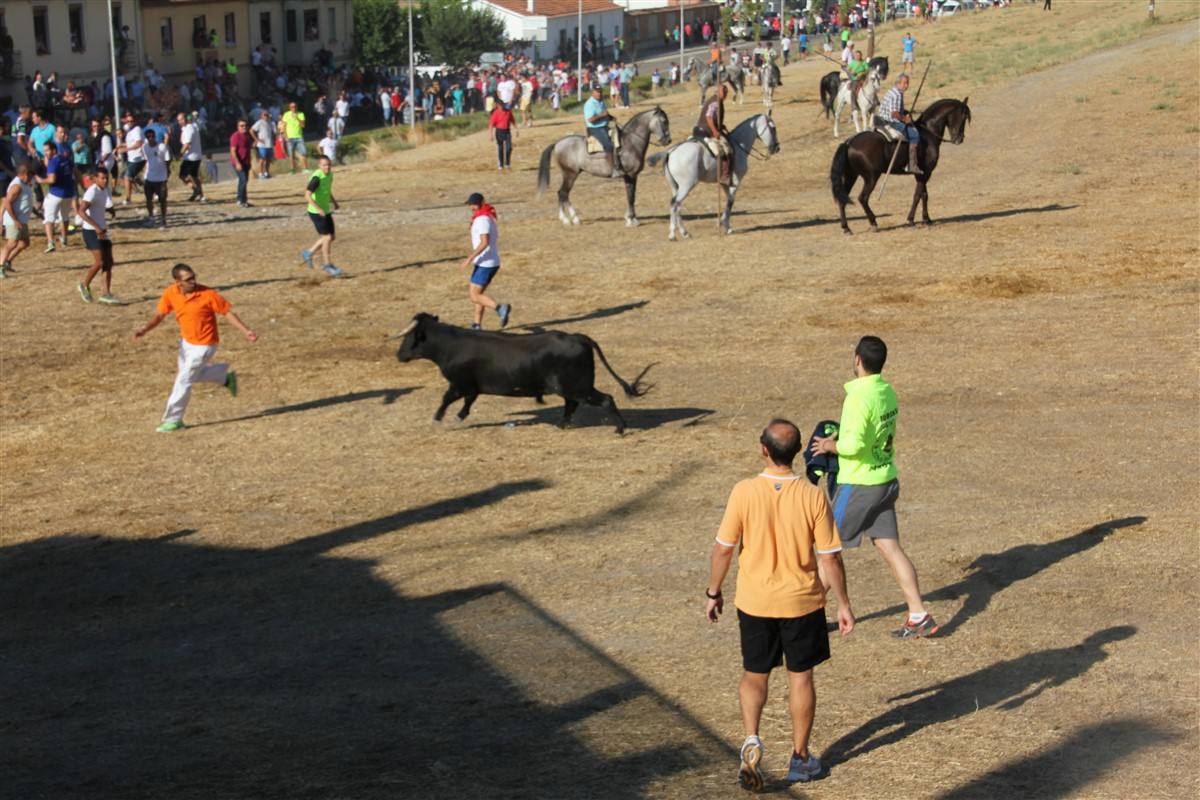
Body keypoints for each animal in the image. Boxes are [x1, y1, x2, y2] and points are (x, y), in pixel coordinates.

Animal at [396, 314, 652, 438]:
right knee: (571, 404)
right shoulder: (470, 387)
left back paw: (620, 429)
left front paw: (438, 419)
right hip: (571, 388)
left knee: (605, 399)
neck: (450, 345)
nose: (399, 355)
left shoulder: (459, 383)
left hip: (580, 387)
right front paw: (459, 416)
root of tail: (578, 337)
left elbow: (446, 399)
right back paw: (562, 425)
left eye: (409, 338)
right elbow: (467, 402)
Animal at [537, 104, 672, 226]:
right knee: (563, 193)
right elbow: (631, 196)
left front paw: (630, 218)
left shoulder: (630, 176)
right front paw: (631, 220)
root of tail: (557, 143)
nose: (668, 140)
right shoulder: (631, 175)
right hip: (570, 174)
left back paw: (568, 218)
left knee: (562, 194)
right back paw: (570, 219)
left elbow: (631, 196)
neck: (630, 143)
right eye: (664, 121)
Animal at [648, 112, 777, 241]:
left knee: (677, 205)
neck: (739, 144)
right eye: (773, 128)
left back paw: (685, 233)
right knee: (675, 203)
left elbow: (729, 200)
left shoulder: (725, 183)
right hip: (687, 185)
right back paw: (672, 234)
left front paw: (725, 224)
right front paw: (725, 225)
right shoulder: (736, 182)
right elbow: (731, 201)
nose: (777, 147)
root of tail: (670, 152)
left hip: (675, 186)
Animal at [835, 97, 974, 235]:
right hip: (871, 177)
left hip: (851, 175)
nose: (960, 139)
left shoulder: (922, 174)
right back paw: (873, 223)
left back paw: (846, 228)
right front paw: (911, 220)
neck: (928, 133)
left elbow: (924, 195)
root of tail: (848, 142)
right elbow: (918, 195)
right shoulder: (925, 173)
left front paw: (927, 219)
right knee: (862, 198)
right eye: (964, 117)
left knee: (842, 198)